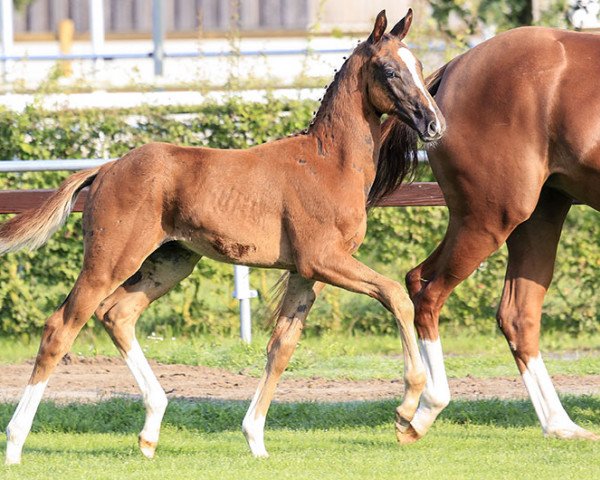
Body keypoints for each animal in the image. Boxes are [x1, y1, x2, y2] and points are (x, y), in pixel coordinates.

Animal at [2, 9, 446, 464]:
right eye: (390, 70)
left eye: (420, 66)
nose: (434, 124)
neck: (328, 163)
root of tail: (107, 167)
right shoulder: (324, 259)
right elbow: (395, 295)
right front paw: (409, 410)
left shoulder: (306, 272)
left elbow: (281, 347)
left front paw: (255, 438)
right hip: (109, 261)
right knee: (61, 327)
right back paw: (16, 444)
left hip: (171, 262)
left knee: (117, 314)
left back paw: (150, 432)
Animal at [382, 28, 596, 444]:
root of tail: (453, 70)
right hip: (491, 218)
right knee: (429, 294)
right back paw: (424, 410)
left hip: (532, 218)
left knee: (513, 314)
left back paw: (559, 425)